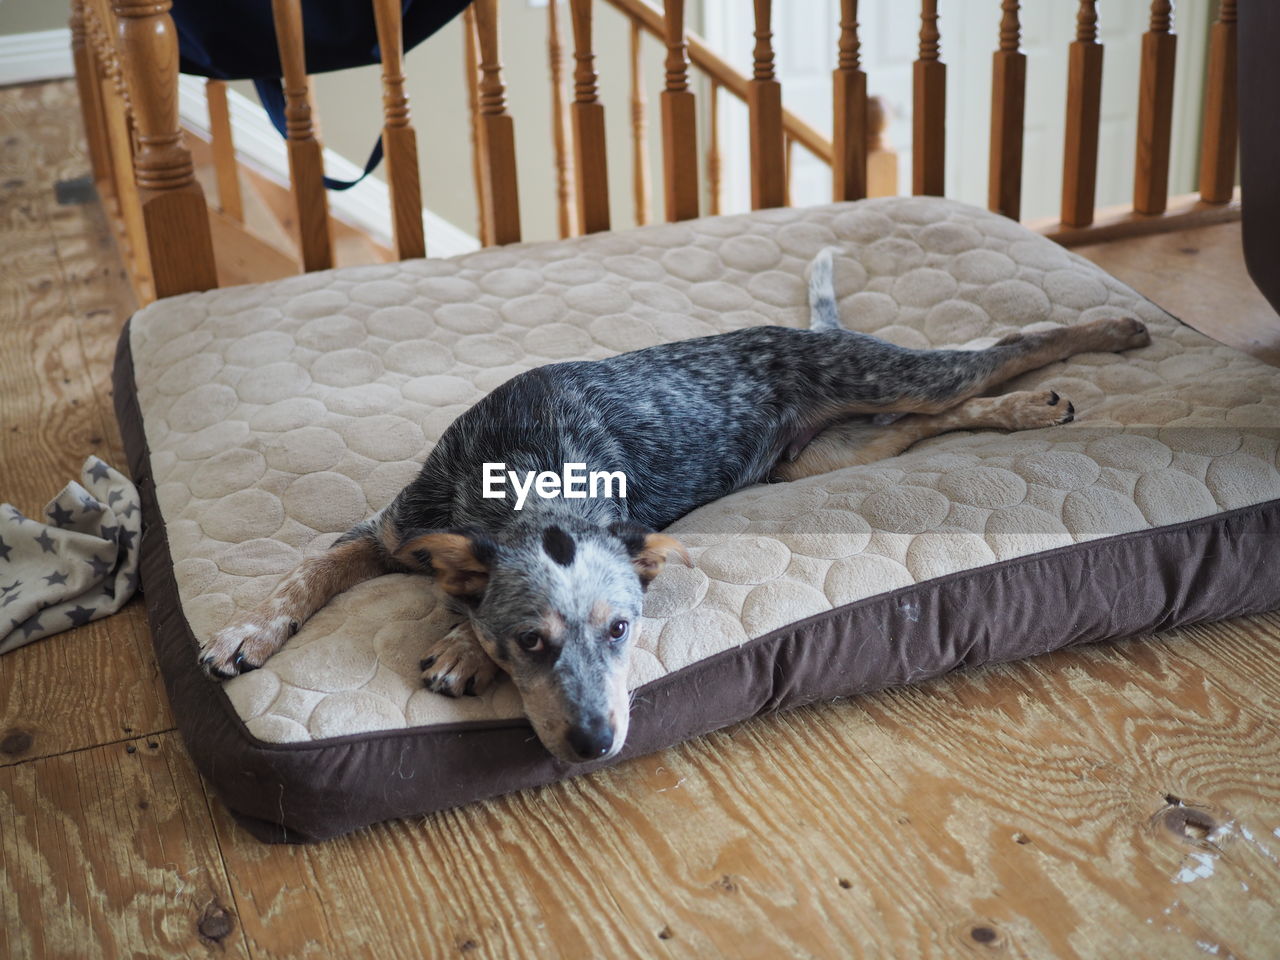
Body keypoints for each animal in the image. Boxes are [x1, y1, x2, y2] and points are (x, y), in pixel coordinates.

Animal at [202, 248, 1152, 768]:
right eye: (532, 643)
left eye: (624, 629)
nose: (597, 741)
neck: (523, 469)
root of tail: (796, 335)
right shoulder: (387, 528)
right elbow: (306, 571)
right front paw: (244, 632)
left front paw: (459, 648)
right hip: (825, 454)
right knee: (948, 410)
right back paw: (1034, 402)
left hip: (887, 378)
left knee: (1007, 345)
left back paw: (1110, 332)